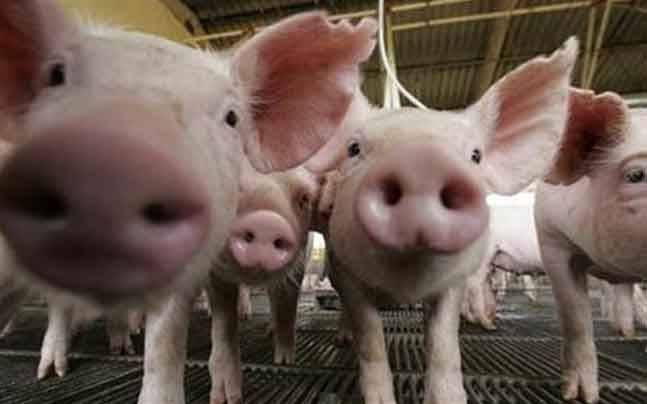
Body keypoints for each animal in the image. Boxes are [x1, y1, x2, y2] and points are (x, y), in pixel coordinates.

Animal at [311, 39, 577, 404]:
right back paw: (342, 339)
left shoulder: (455, 281)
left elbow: (442, 342)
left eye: (476, 156)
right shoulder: (345, 271)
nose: (422, 161)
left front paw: (449, 396)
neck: (404, 282)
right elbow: (371, 338)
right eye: (353, 149)